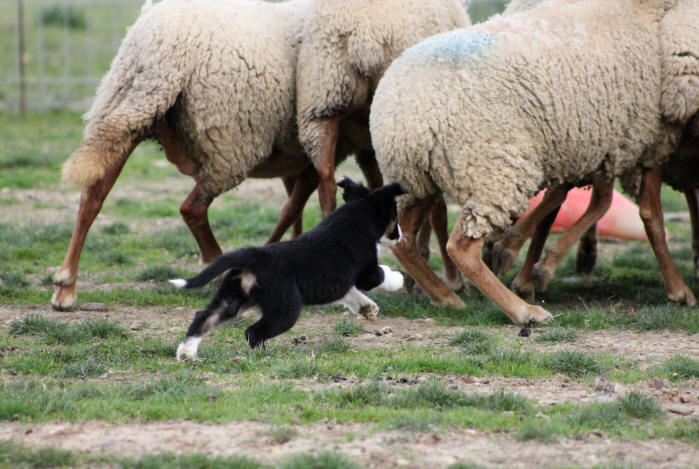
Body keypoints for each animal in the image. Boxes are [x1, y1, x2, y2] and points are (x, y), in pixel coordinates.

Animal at [172, 177, 408, 360]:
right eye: (395, 217)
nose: (400, 236)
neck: (357, 214)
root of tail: (254, 255)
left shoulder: (339, 281)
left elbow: (350, 292)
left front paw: (365, 307)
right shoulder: (366, 272)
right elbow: (381, 274)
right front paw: (398, 278)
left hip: (232, 298)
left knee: (204, 317)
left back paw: (186, 353)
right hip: (285, 309)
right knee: (253, 331)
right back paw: (264, 354)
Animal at [370, 0, 696, 324]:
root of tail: (404, 114)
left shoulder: (604, 142)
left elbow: (596, 201)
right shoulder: (647, 138)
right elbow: (649, 214)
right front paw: (679, 290)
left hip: (416, 177)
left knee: (403, 238)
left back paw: (445, 296)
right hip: (494, 170)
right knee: (460, 248)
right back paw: (522, 311)